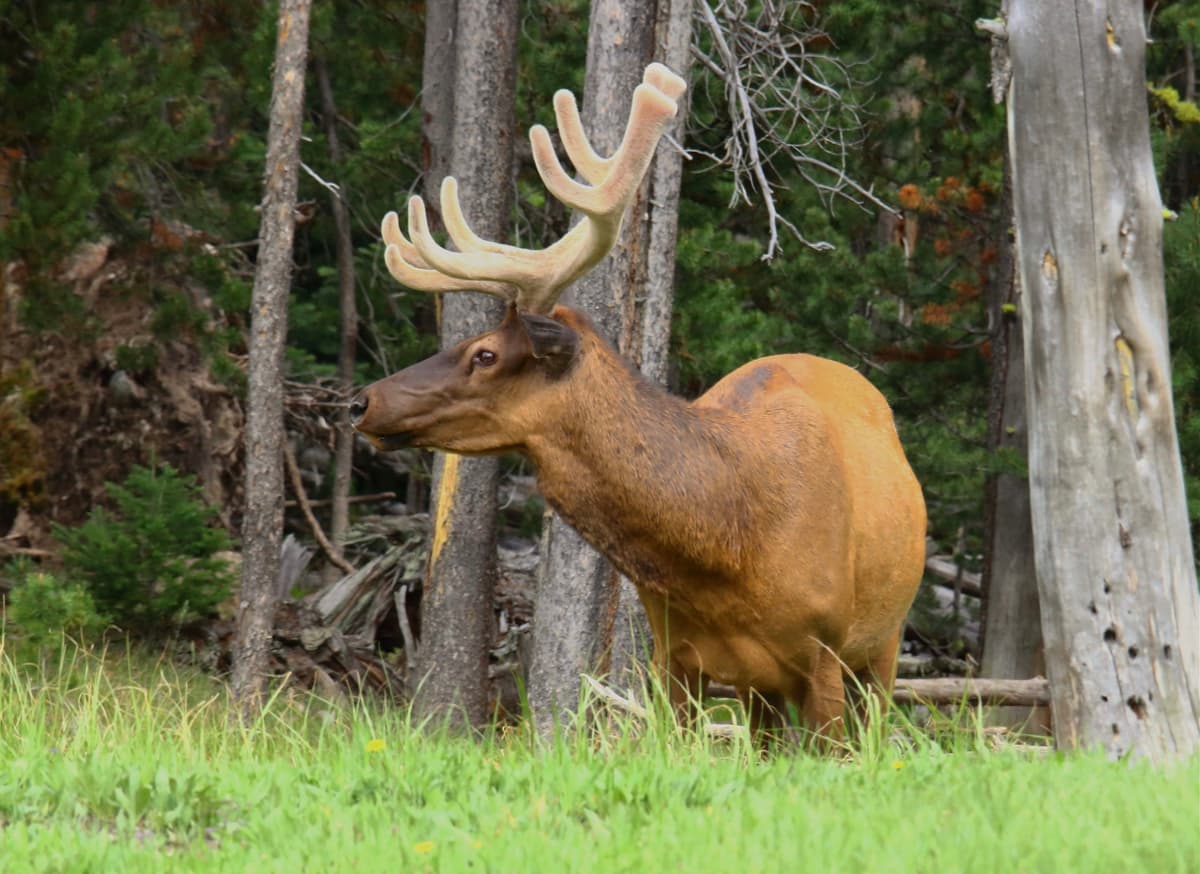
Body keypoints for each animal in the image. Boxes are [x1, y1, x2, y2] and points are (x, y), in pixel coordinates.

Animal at [350, 63, 926, 744]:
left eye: (485, 353)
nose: (362, 401)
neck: (732, 545)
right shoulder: (673, 655)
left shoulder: (824, 651)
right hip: (763, 688)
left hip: (884, 640)